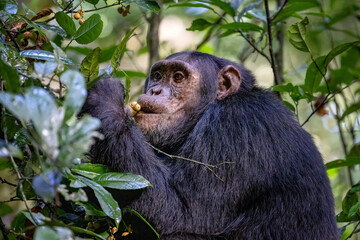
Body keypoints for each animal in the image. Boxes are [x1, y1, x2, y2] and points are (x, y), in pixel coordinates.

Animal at [81, 51, 338, 239]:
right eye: (157, 75)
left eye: (178, 77)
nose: (155, 90)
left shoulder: (235, 125)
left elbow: (186, 213)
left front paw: (104, 95)